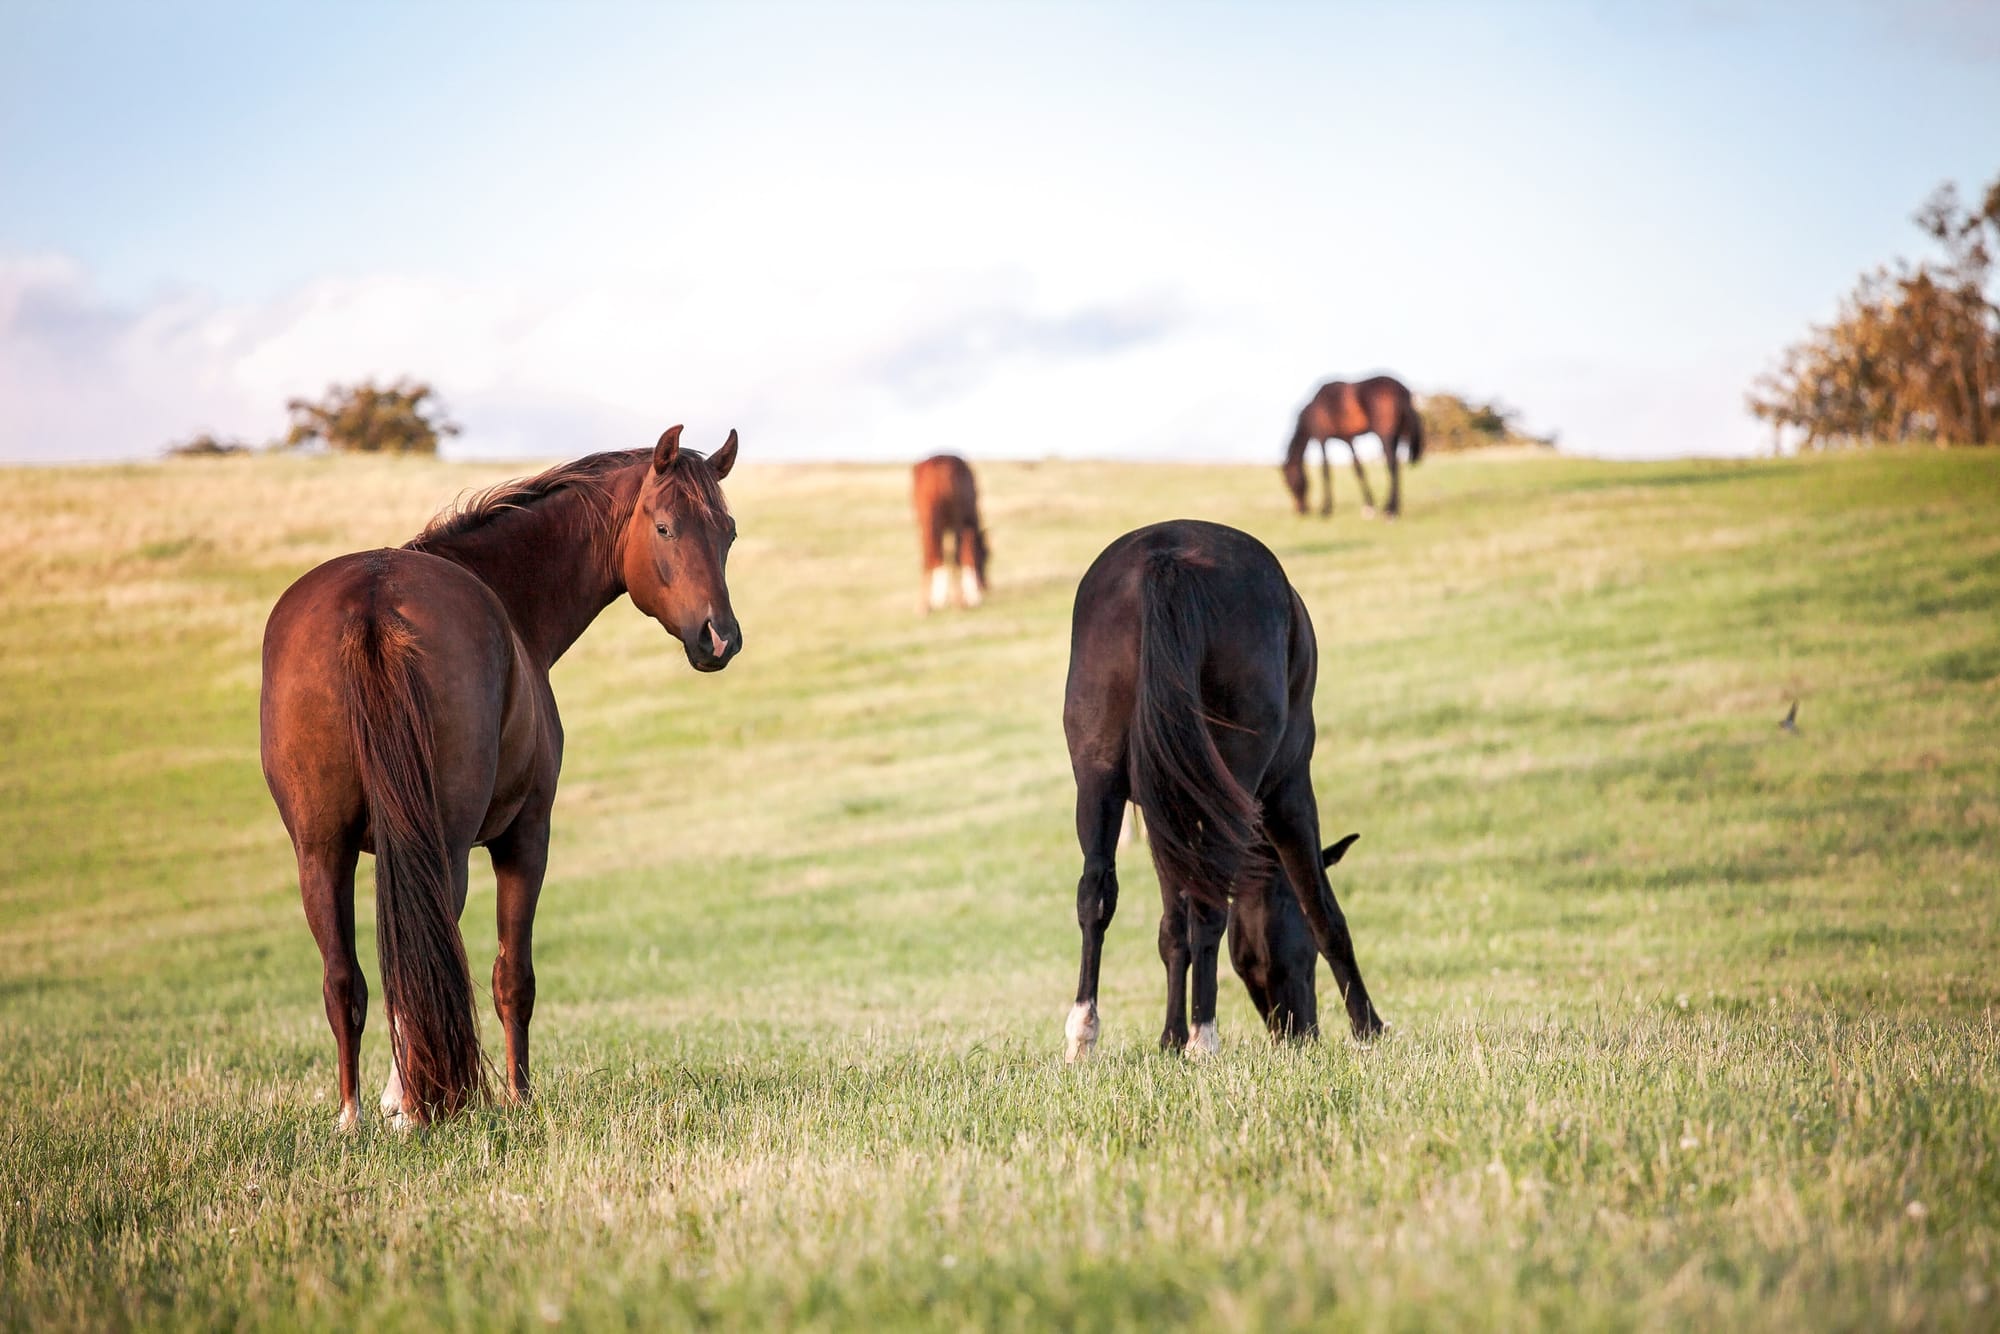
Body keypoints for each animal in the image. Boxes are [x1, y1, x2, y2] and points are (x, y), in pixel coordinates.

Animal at [258, 428, 740, 1128]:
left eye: (728, 532)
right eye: (665, 527)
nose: (719, 638)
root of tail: (372, 603)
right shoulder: (526, 836)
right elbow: (513, 979)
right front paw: (517, 1096)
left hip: (320, 851)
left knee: (344, 978)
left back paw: (355, 1115)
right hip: (445, 845)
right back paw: (416, 1105)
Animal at [916, 454, 992, 612]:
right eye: (985, 556)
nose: (985, 586)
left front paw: (938, 600)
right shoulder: (966, 525)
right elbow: (966, 554)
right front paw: (973, 598)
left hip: (927, 521)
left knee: (929, 554)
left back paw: (923, 606)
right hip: (955, 521)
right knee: (955, 555)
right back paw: (958, 602)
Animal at [1064, 520, 1376, 1064]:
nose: (1300, 1031)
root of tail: (1166, 558)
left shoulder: (1165, 815)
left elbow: (1173, 928)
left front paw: (1168, 1039)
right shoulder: (1289, 792)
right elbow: (1322, 910)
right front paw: (1368, 1027)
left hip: (1098, 779)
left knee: (1096, 893)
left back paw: (1084, 1034)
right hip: (1243, 782)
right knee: (1212, 906)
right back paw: (1204, 1037)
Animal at [1280, 380, 1424, 520]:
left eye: (1288, 481)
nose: (1301, 510)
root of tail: (1402, 391)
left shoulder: (1322, 438)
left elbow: (1325, 471)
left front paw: (1326, 510)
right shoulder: (1348, 439)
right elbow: (1358, 469)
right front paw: (1369, 507)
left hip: (1385, 435)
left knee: (1392, 466)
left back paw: (1390, 510)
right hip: (1396, 436)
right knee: (1396, 467)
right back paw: (1393, 508)